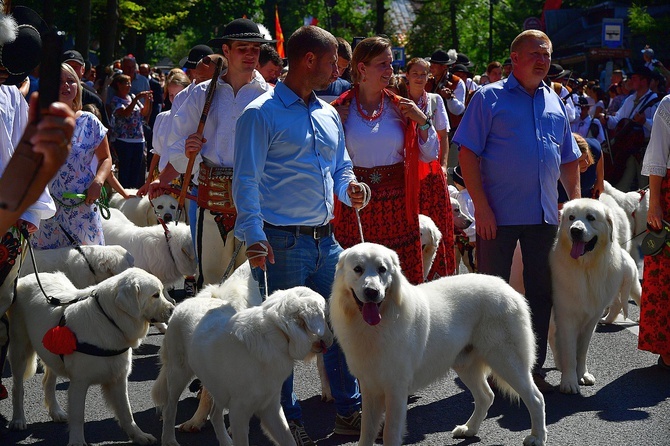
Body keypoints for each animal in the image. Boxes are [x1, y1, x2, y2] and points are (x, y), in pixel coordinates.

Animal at [7, 268, 175, 446]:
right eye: (155, 295)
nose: (173, 309)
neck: (109, 320)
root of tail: (29, 276)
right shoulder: (79, 382)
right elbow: (78, 415)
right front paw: (76, 441)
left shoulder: (118, 378)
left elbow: (127, 412)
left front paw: (139, 435)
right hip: (19, 350)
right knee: (17, 387)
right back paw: (18, 420)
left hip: (52, 352)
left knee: (48, 382)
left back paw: (56, 412)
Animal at [188, 286, 334, 446]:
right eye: (325, 316)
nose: (333, 338)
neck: (278, 334)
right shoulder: (239, 411)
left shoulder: (270, 405)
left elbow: (287, 438)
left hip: (217, 389)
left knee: (215, 413)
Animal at [330, 244, 544, 446]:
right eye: (358, 269)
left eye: (382, 269)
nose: (372, 292)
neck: (376, 325)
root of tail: (508, 289)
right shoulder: (369, 386)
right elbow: (366, 432)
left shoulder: (395, 389)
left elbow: (390, 433)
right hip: (466, 365)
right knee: (486, 396)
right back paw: (469, 429)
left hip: (507, 362)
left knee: (536, 398)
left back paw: (537, 437)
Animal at [552, 199, 644, 394]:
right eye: (571, 217)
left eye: (591, 218)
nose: (575, 230)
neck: (585, 268)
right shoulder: (566, 318)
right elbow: (570, 353)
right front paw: (569, 381)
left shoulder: (591, 318)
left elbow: (582, 351)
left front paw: (582, 375)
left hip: (630, 286)